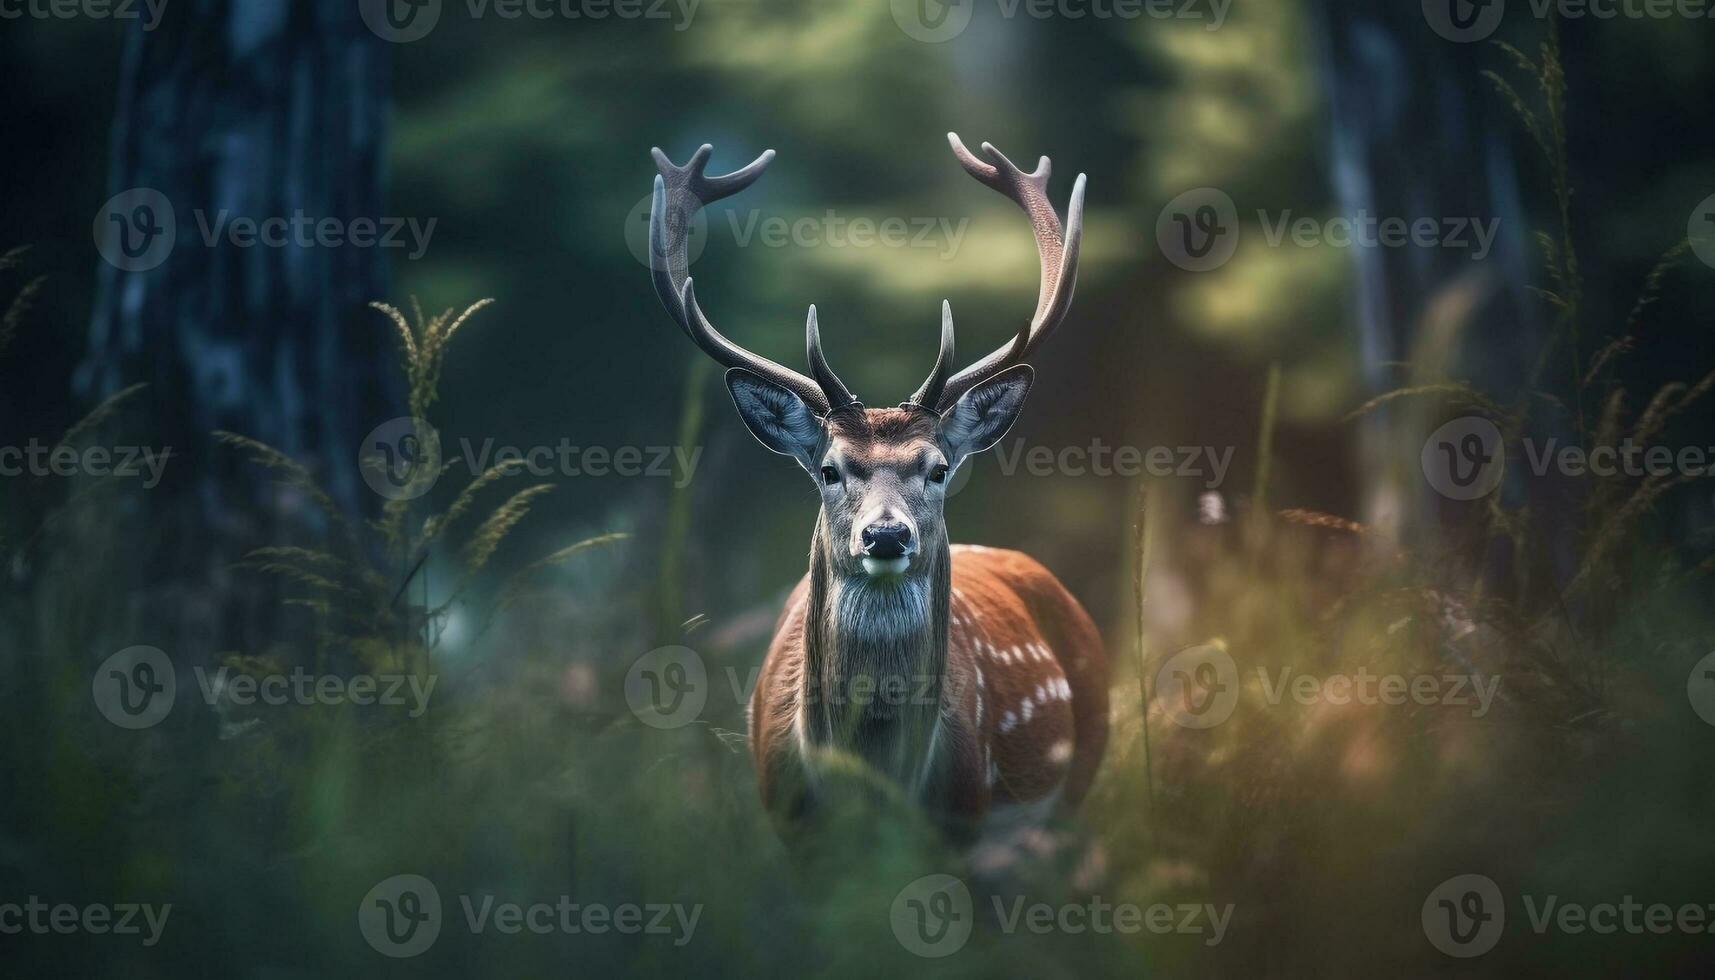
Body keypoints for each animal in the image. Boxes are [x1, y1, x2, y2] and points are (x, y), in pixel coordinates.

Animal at [644, 133, 1111, 847]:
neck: (871, 785)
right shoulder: (787, 825)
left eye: (939, 468)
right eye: (830, 469)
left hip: (1077, 788)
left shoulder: (964, 823)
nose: (886, 534)